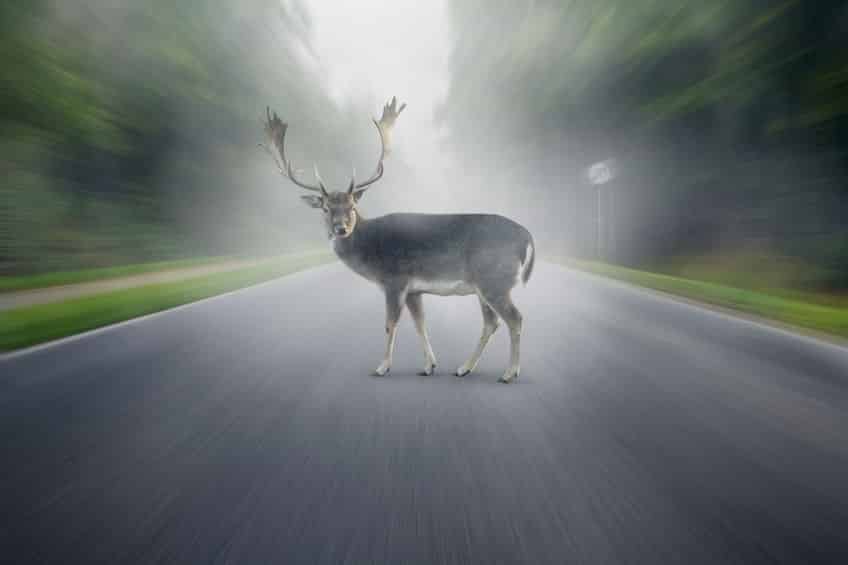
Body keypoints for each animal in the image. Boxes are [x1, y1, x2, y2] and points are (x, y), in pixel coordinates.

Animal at [261, 97, 534, 383]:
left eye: (352, 206)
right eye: (326, 208)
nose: (341, 229)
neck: (371, 251)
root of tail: (527, 236)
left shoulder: (394, 279)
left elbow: (390, 324)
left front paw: (382, 367)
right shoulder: (414, 289)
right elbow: (420, 323)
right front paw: (429, 366)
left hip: (494, 279)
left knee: (514, 318)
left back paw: (509, 373)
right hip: (485, 285)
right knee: (492, 322)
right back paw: (464, 368)